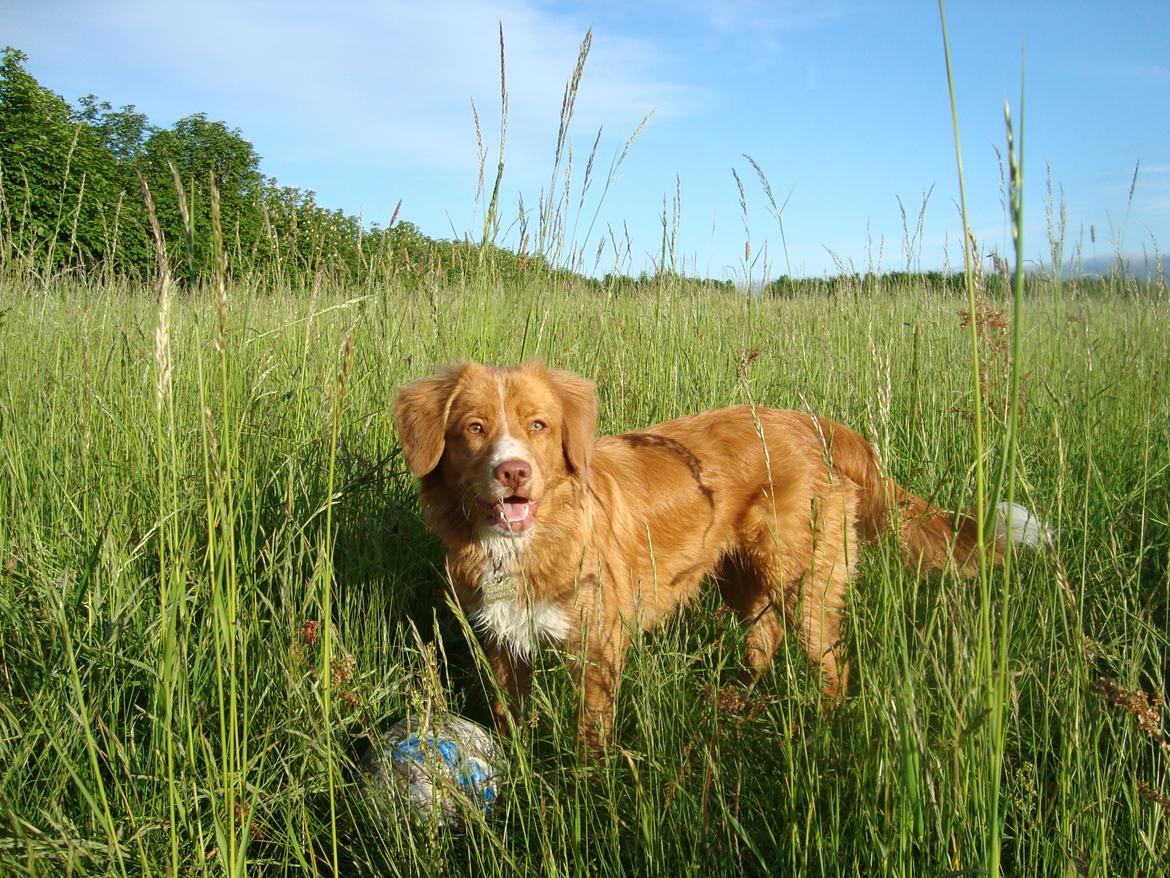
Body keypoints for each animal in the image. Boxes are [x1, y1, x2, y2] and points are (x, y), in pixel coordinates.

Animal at [393, 360, 1043, 753]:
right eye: (475, 428)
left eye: (538, 425)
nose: (513, 472)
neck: (528, 543)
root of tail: (814, 422)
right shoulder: (501, 639)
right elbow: (509, 716)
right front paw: (521, 769)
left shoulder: (597, 647)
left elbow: (590, 736)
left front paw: (586, 792)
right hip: (741, 578)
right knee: (765, 635)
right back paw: (742, 697)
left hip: (804, 580)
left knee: (830, 663)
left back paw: (825, 730)